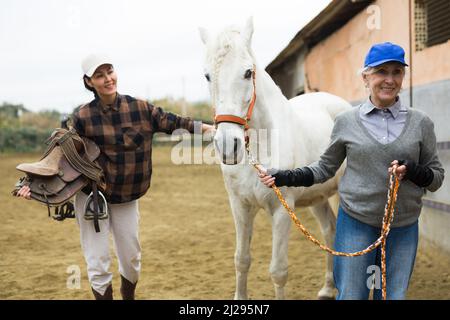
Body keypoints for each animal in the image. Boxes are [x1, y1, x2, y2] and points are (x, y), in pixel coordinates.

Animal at [200, 18, 352, 300]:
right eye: (207, 75)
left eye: (248, 72)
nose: (228, 146)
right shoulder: (240, 206)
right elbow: (241, 260)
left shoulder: (283, 209)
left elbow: (278, 271)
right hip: (318, 197)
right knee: (330, 231)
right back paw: (328, 287)